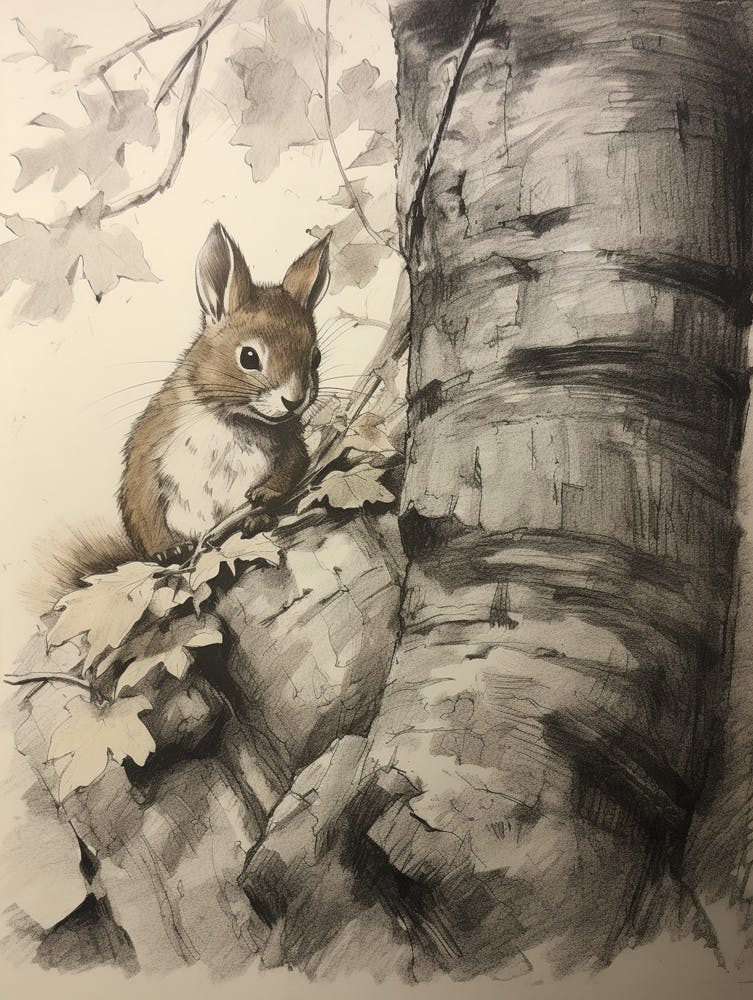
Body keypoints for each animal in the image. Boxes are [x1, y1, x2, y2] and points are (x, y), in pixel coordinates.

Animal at [118, 222, 330, 562]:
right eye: (249, 357)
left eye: (316, 358)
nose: (294, 401)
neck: (232, 418)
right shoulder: (148, 447)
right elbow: (142, 507)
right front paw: (166, 549)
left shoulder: (290, 441)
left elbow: (294, 464)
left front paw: (265, 493)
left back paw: (257, 519)